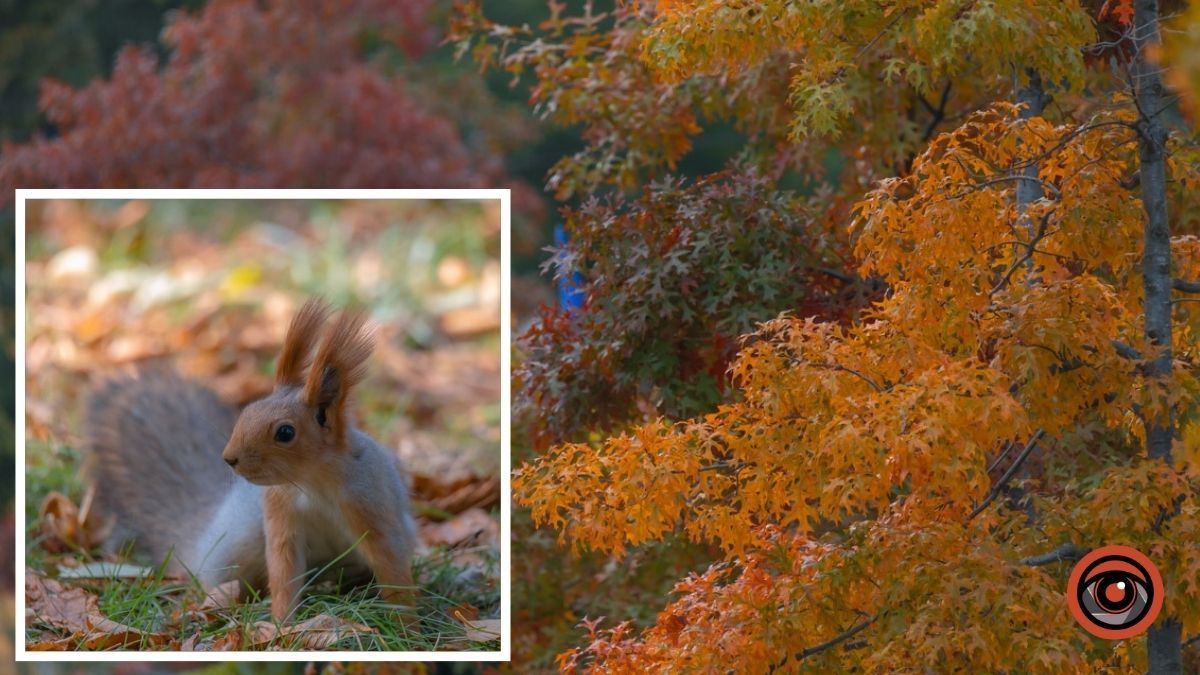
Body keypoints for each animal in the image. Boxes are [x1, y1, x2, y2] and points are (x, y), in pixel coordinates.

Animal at [82, 299, 420, 619]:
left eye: (285, 432)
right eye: (246, 411)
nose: (229, 458)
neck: (313, 484)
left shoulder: (369, 503)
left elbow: (390, 565)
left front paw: (407, 626)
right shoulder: (279, 511)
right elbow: (284, 572)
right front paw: (283, 627)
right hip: (241, 544)